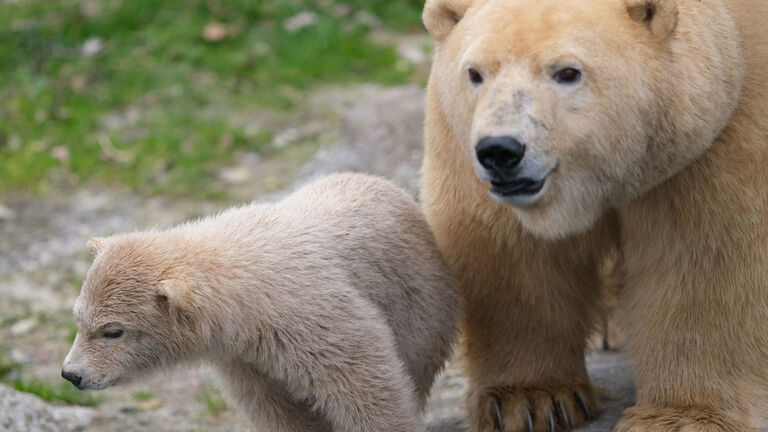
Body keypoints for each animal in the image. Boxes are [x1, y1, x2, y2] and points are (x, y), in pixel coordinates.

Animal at [61, 173, 460, 432]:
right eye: (78, 320)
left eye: (113, 331)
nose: (72, 374)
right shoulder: (244, 359)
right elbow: (279, 412)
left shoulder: (315, 320)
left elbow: (368, 387)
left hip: (421, 304)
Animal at [420, 0, 768, 431]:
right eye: (475, 73)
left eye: (568, 72)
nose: (500, 151)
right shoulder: (461, 144)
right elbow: (511, 255)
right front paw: (531, 400)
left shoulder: (723, 133)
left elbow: (705, 259)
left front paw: (680, 417)